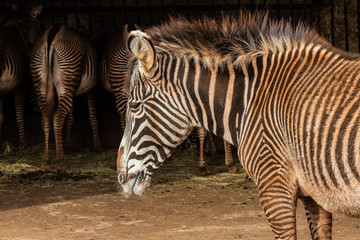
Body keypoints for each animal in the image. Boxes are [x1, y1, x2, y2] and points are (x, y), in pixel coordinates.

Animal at [29, 24, 101, 171]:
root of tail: (52, 35)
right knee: (57, 117)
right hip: (67, 77)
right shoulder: (92, 89)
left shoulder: (72, 92)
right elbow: (93, 117)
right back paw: (61, 162)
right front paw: (98, 146)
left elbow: (70, 118)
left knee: (46, 118)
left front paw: (66, 146)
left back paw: (46, 162)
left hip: (43, 82)